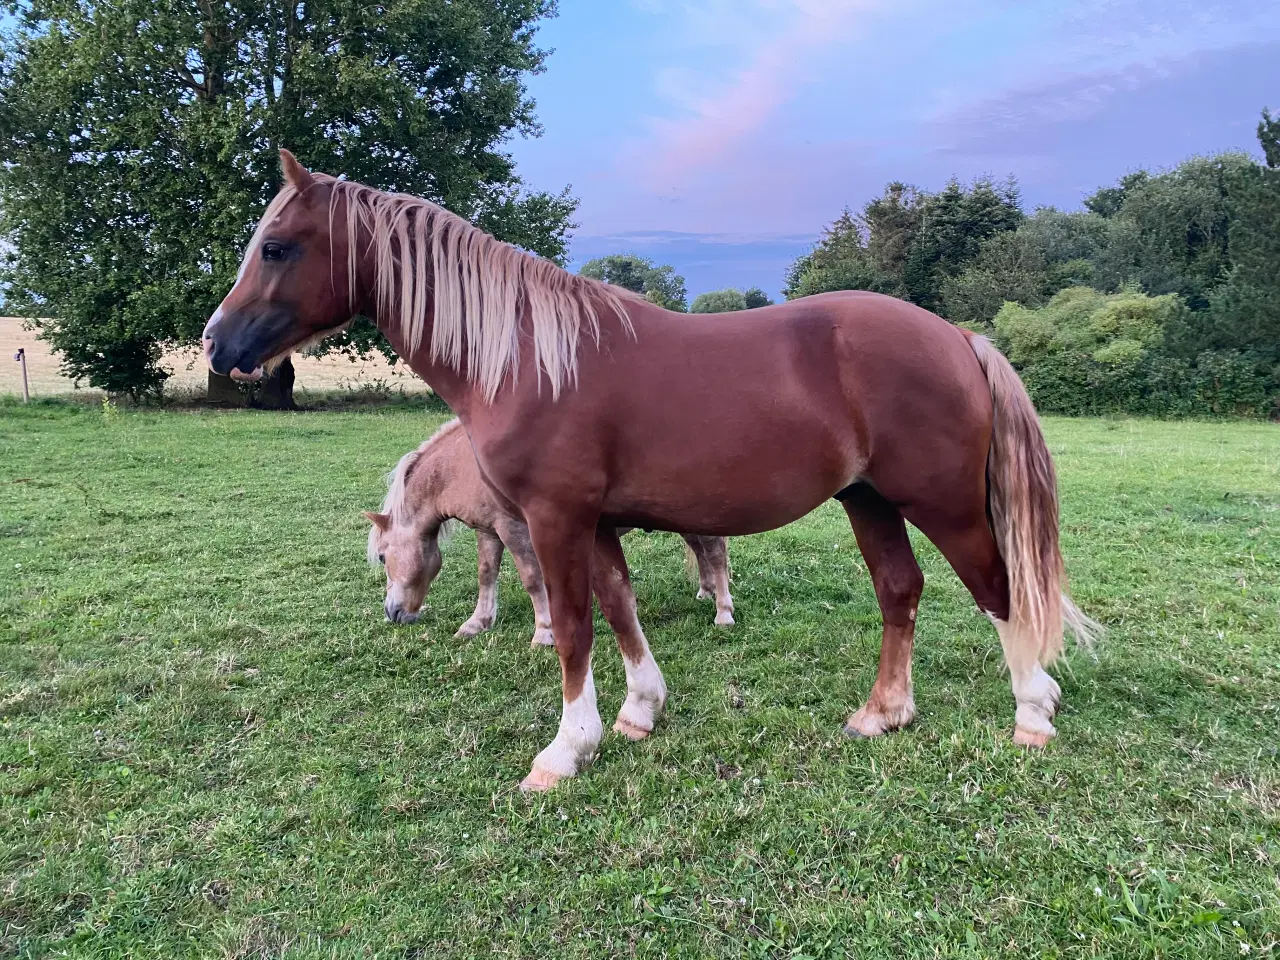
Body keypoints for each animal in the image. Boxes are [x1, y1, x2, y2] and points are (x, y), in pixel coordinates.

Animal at [366, 417, 737, 642]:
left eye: (383, 557)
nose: (392, 613)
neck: (468, 465)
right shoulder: (488, 530)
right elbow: (486, 574)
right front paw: (477, 623)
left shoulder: (514, 530)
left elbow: (532, 579)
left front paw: (544, 632)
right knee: (701, 551)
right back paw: (705, 592)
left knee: (716, 553)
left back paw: (723, 612)